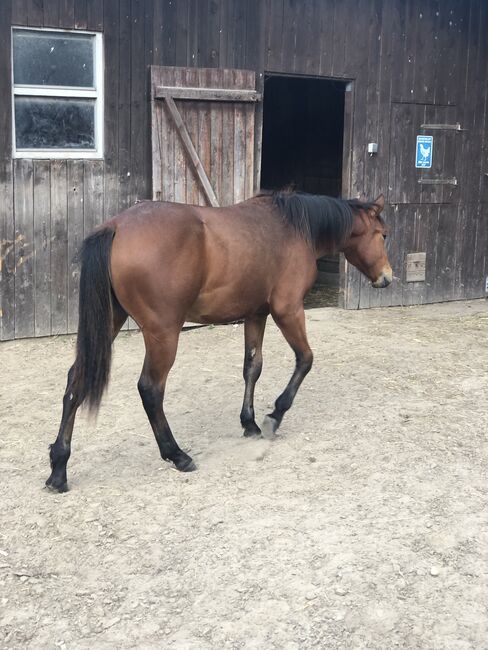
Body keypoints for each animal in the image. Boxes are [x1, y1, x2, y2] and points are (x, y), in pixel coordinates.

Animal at [45, 190, 392, 488]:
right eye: (384, 234)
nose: (387, 277)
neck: (295, 229)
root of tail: (116, 226)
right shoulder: (288, 311)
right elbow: (305, 360)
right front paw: (274, 416)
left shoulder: (256, 315)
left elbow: (252, 367)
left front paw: (249, 423)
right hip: (163, 334)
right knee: (150, 389)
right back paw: (177, 454)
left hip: (110, 322)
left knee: (76, 381)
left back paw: (58, 468)